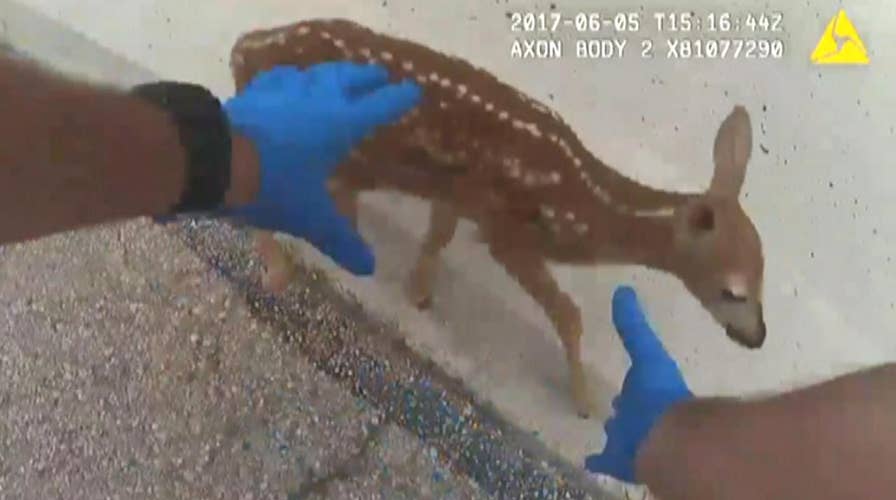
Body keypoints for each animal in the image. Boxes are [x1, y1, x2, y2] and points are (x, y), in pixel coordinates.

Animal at [228, 18, 766, 418]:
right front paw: (586, 402)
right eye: (732, 290)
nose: (757, 337)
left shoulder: (460, 193)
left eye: (763, 272)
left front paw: (420, 292)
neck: (581, 203)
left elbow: (438, 237)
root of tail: (244, 48)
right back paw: (281, 269)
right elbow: (568, 312)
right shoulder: (505, 229)